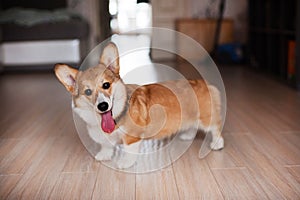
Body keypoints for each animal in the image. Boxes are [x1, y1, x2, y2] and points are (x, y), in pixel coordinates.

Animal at [54, 42, 224, 169]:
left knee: (215, 128)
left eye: (106, 85)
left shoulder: (132, 137)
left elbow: (129, 151)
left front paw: (125, 163)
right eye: (88, 91)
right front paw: (104, 155)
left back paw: (217, 144)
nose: (103, 106)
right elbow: (106, 146)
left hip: (207, 118)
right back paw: (187, 135)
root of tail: (204, 82)